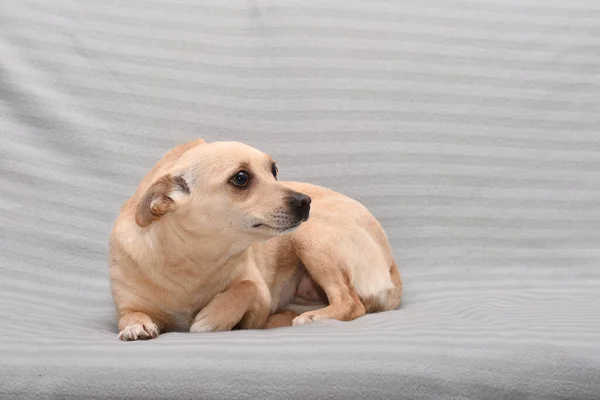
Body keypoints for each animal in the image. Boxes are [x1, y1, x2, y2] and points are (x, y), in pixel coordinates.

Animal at [111, 139, 404, 340]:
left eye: (274, 171)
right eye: (241, 178)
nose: (305, 201)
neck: (194, 260)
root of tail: (391, 263)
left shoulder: (259, 300)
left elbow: (245, 288)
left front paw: (212, 317)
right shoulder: (127, 306)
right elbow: (129, 316)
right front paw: (137, 325)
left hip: (309, 236)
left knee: (351, 302)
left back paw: (312, 317)